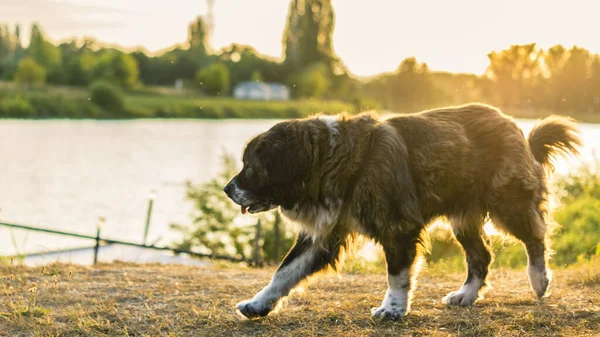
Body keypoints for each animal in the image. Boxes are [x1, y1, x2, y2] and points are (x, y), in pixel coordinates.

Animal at [223, 103, 580, 318]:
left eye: (250, 168)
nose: (227, 189)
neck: (332, 159)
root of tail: (515, 127)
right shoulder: (323, 236)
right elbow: (284, 272)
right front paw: (258, 304)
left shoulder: (398, 228)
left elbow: (396, 274)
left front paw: (392, 309)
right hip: (462, 219)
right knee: (481, 257)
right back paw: (465, 295)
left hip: (508, 205)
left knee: (535, 239)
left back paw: (539, 280)